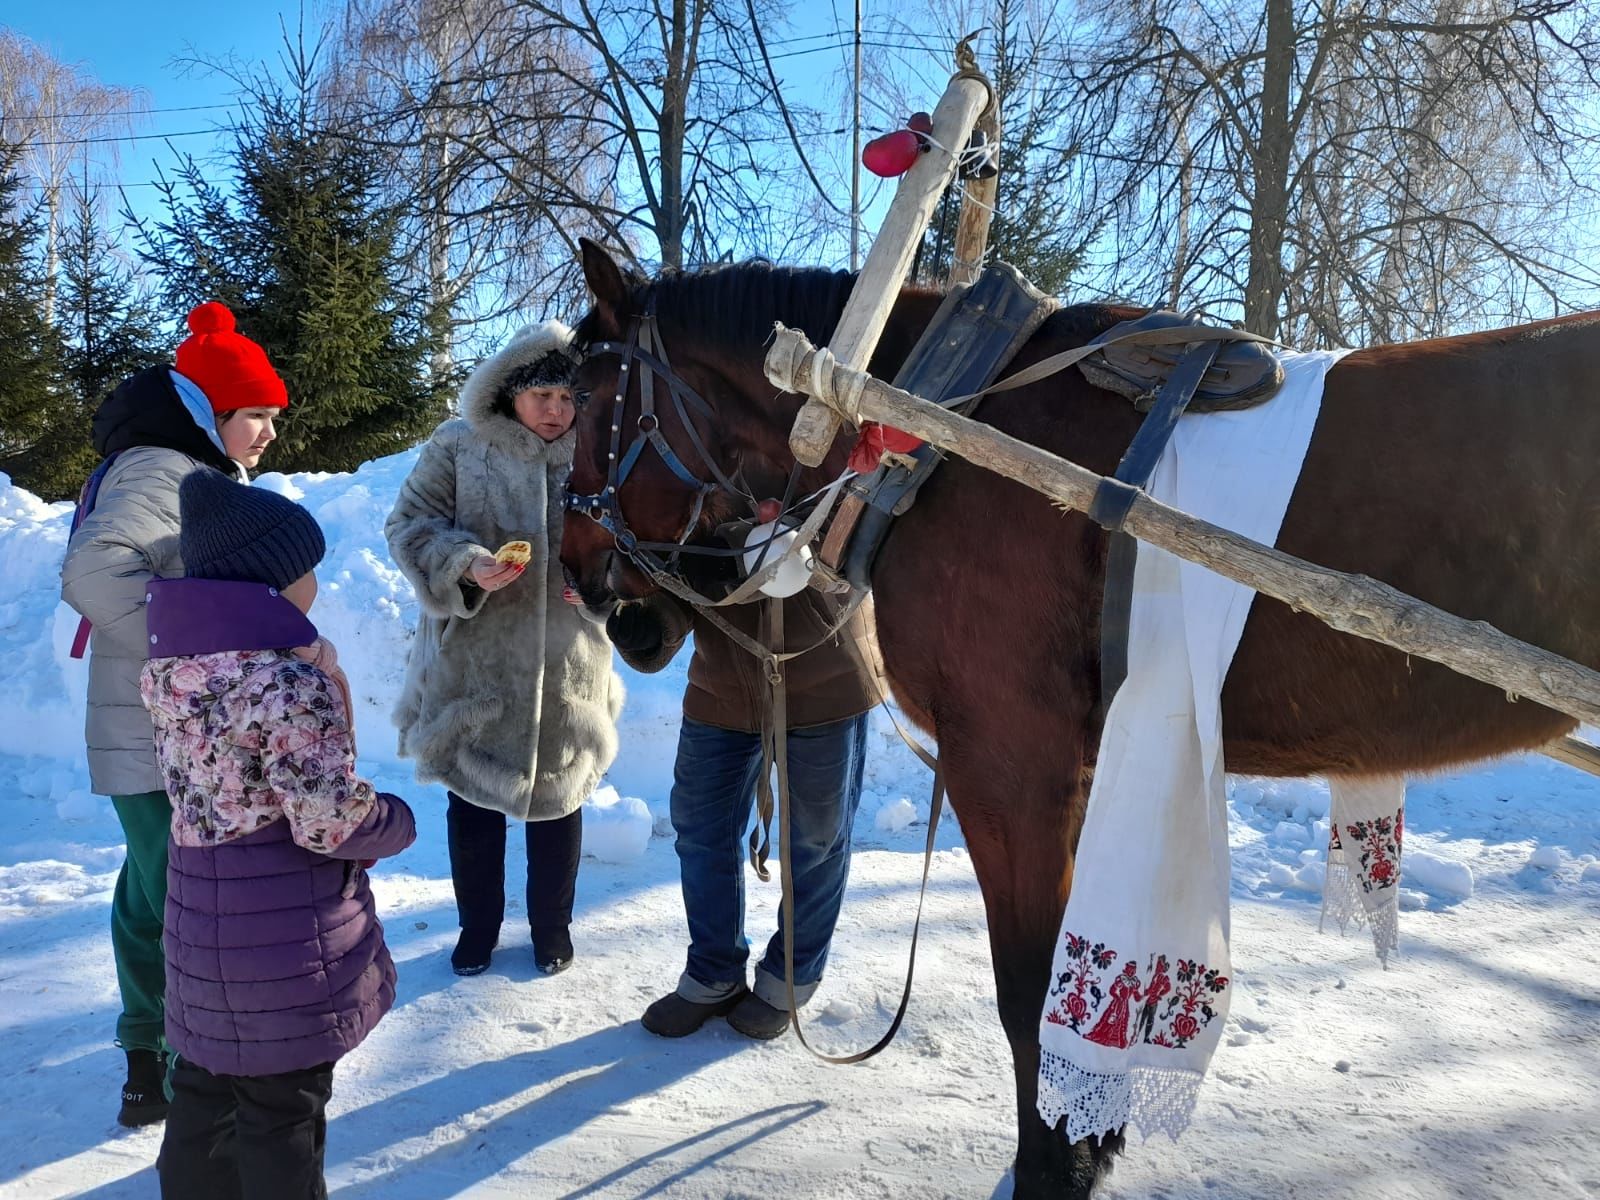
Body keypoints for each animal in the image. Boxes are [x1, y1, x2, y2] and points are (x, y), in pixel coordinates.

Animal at [560, 240, 1600, 1196]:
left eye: (581, 405)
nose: (585, 581)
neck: (948, 430)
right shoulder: (1082, 763)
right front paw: (1091, 1140)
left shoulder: (1009, 765)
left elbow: (1028, 990)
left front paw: (1051, 1166)